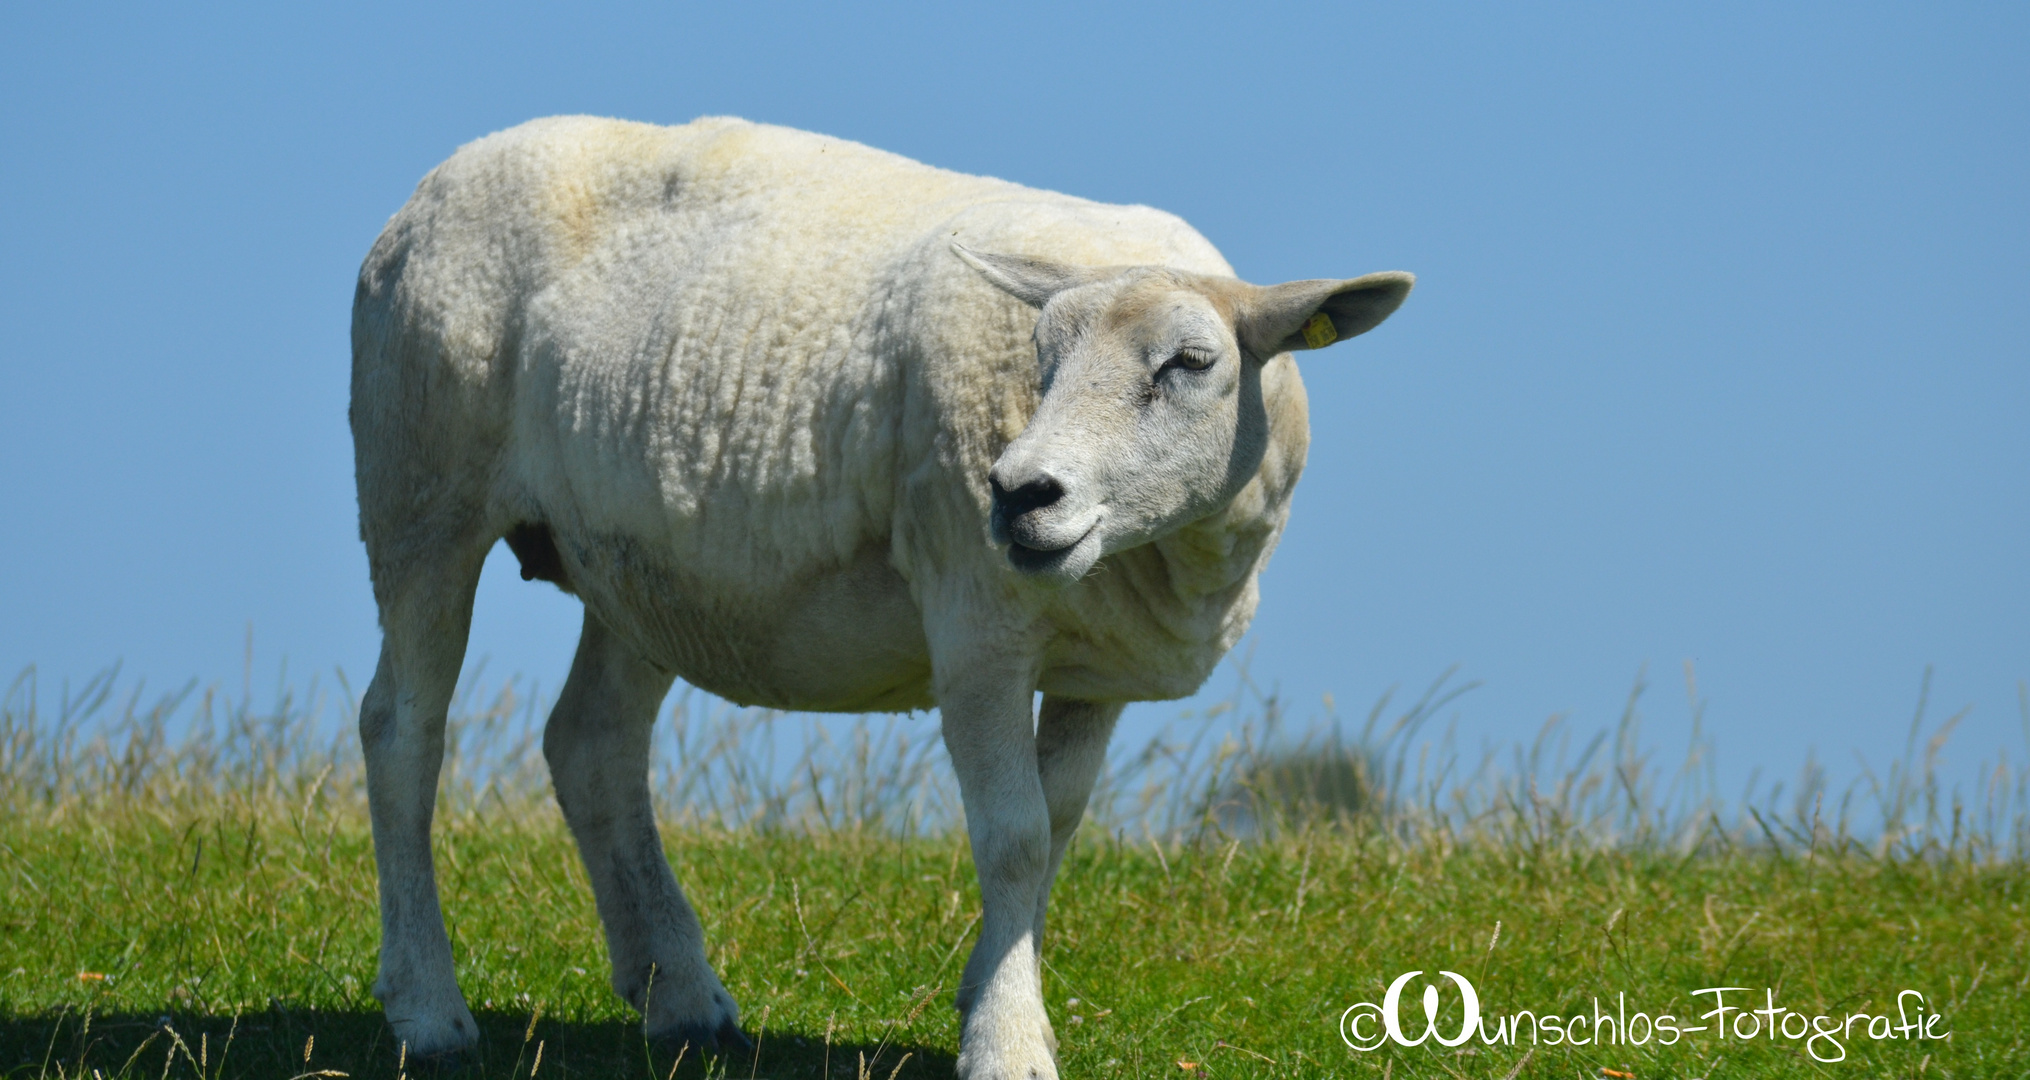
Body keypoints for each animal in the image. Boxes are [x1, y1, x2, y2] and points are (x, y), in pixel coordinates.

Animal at [353, 111, 1412, 1080]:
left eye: (1191, 363)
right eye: (1042, 361)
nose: (1018, 492)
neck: (1159, 552)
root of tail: (441, 177)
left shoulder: (1094, 668)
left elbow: (1059, 825)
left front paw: (990, 992)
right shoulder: (976, 628)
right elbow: (1015, 835)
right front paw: (1007, 1044)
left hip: (637, 565)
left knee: (593, 743)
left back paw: (681, 995)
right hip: (421, 481)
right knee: (404, 729)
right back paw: (429, 1009)